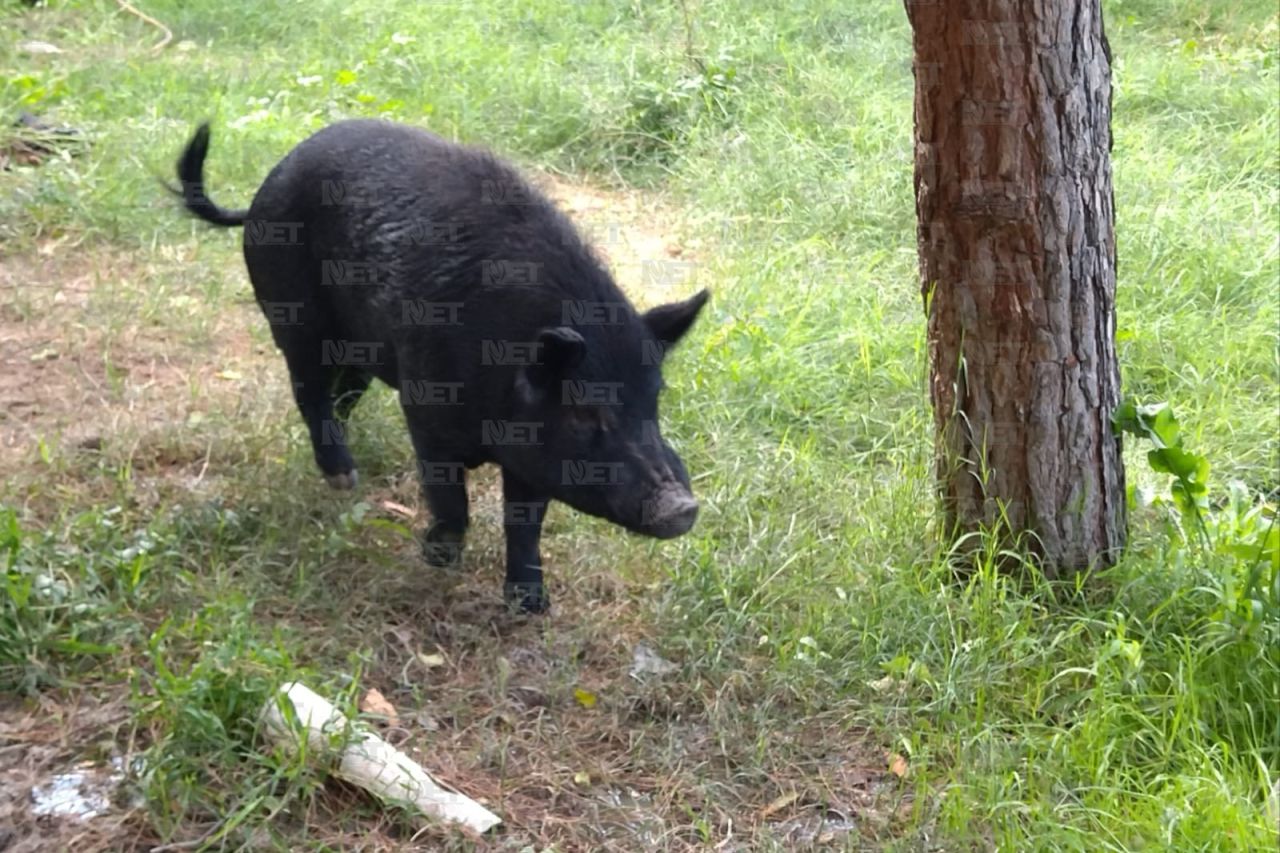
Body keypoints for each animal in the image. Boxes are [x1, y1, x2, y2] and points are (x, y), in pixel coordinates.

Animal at [172, 121, 711, 612]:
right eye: (584, 413)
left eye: (655, 400)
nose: (682, 507)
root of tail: (265, 186)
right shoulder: (425, 409)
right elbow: (450, 496)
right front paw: (438, 559)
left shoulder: (533, 455)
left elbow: (525, 522)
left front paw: (532, 606)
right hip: (292, 315)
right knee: (309, 392)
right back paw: (343, 478)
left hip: (360, 350)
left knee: (341, 395)